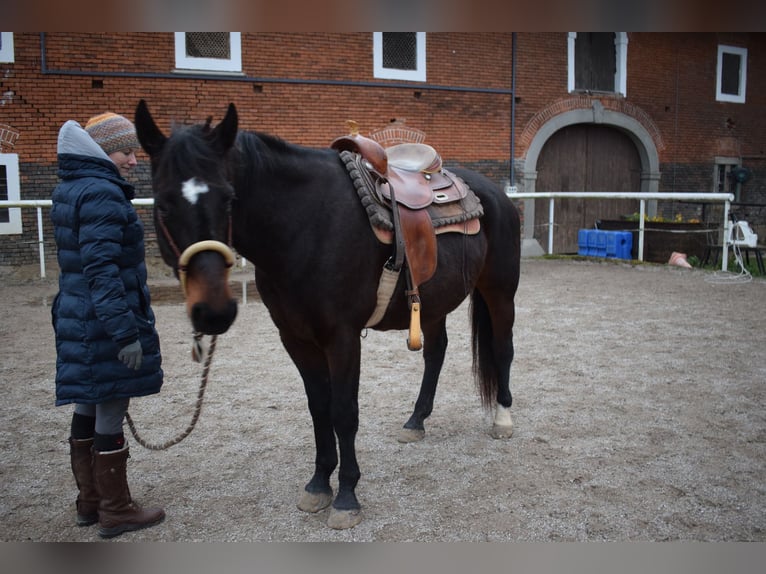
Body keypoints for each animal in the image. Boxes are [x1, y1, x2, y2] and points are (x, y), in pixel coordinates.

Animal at [135, 100, 524, 532]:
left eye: (228, 198)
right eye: (163, 204)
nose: (214, 311)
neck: (304, 223)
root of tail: (495, 193)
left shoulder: (342, 337)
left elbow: (343, 412)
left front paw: (347, 495)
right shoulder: (296, 338)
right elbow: (319, 408)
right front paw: (320, 484)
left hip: (499, 291)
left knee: (502, 348)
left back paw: (502, 419)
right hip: (432, 303)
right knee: (435, 353)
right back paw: (416, 421)